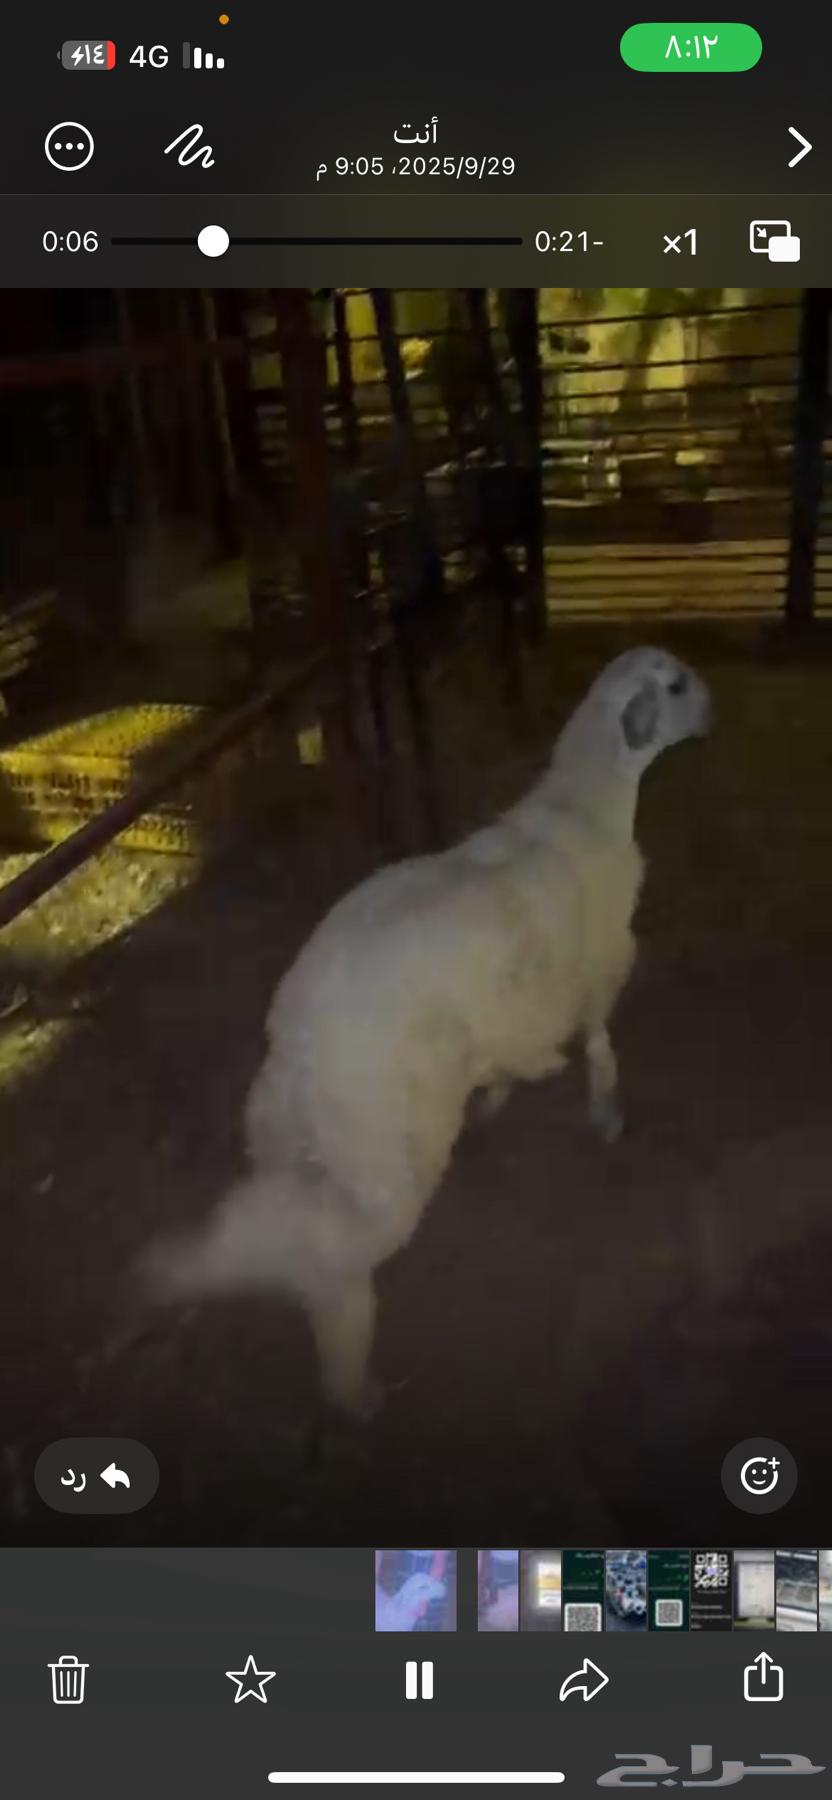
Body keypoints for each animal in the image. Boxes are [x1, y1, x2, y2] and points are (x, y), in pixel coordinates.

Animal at [140, 646, 711, 1417]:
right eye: (675, 686)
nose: (712, 707)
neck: (583, 808)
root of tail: (298, 1042)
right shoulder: (599, 965)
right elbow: (598, 1044)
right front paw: (604, 1110)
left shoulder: (515, 1004)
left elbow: (515, 1053)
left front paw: (511, 1084)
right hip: (387, 1155)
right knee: (333, 1251)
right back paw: (353, 1386)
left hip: (291, 1142)